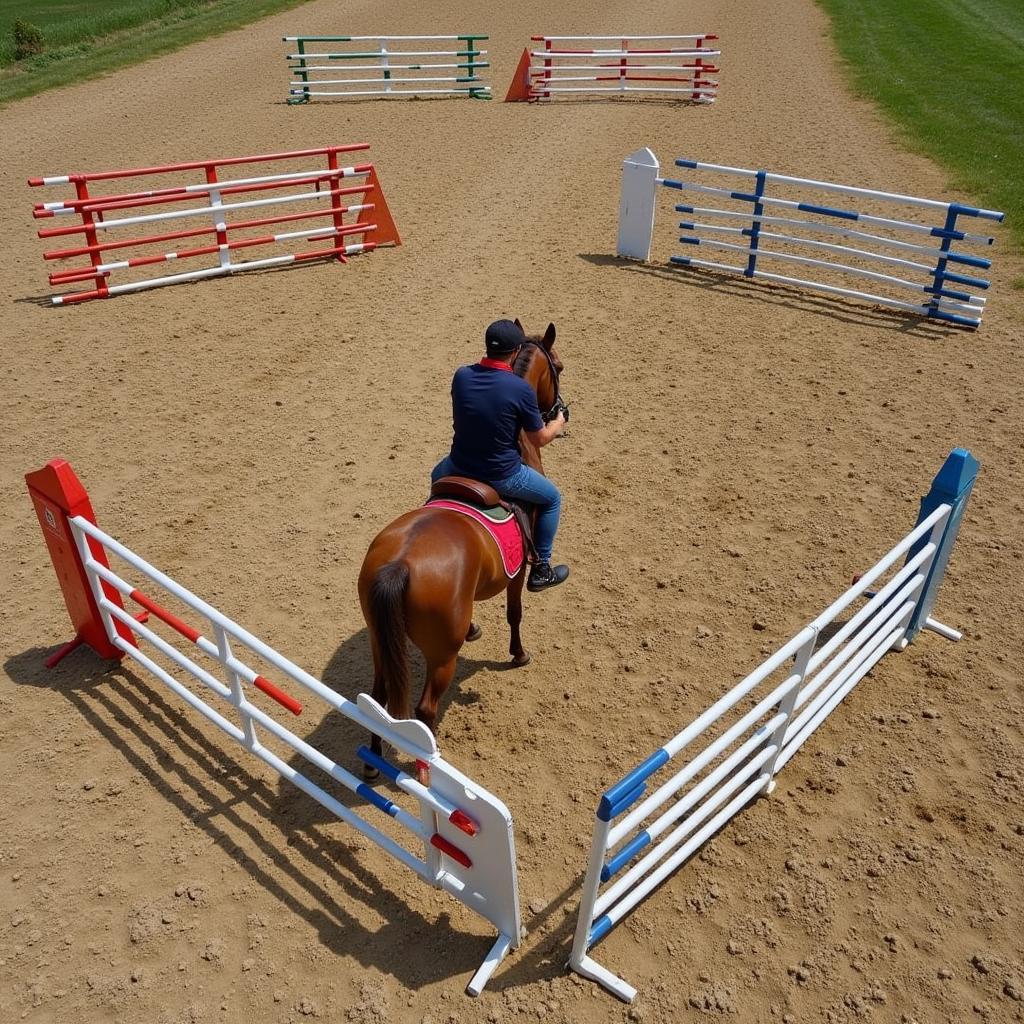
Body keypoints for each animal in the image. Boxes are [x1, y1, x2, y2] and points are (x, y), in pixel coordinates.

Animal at [358, 321, 569, 774]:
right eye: (558, 365)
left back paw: (372, 762)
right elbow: (515, 612)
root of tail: (399, 565)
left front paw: (475, 628)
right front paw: (518, 655)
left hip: (381, 641)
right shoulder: (518, 573)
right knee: (424, 711)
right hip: (441, 658)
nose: (560, 410)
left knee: (378, 698)